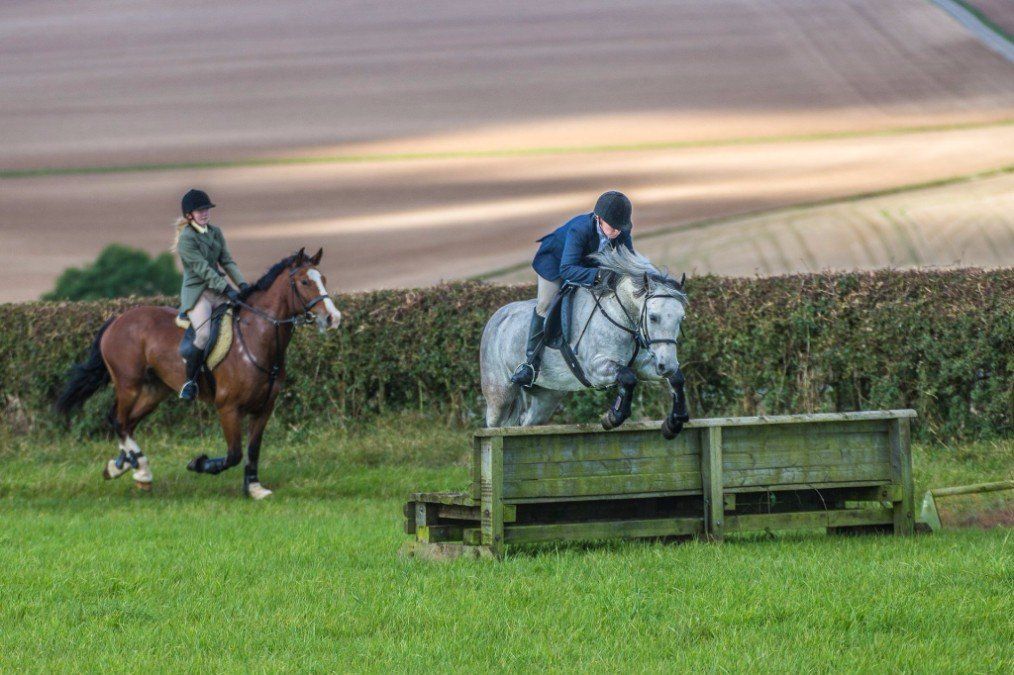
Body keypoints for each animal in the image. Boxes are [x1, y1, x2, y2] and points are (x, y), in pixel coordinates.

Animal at [55, 247, 342, 498]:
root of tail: (117, 320)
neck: (256, 337)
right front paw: (200, 464)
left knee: (127, 423)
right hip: (129, 385)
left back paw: (124, 466)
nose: (333, 318)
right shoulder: (228, 408)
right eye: (305, 281)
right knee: (118, 419)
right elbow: (234, 454)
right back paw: (139, 471)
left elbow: (253, 450)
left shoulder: (264, 408)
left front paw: (254, 488)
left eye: (324, 279)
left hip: (153, 391)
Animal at [480, 247, 690, 437]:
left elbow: (676, 378)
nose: (667, 366)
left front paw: (674, 423)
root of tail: (497, 317)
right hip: (500, 396)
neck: (619, 316)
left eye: (681, 318)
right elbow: (628, 377)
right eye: (653, 317)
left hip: (547, 397)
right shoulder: (595, 369)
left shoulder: (644, 365)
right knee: (494, 426)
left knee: (525, 422)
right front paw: (613, 417)